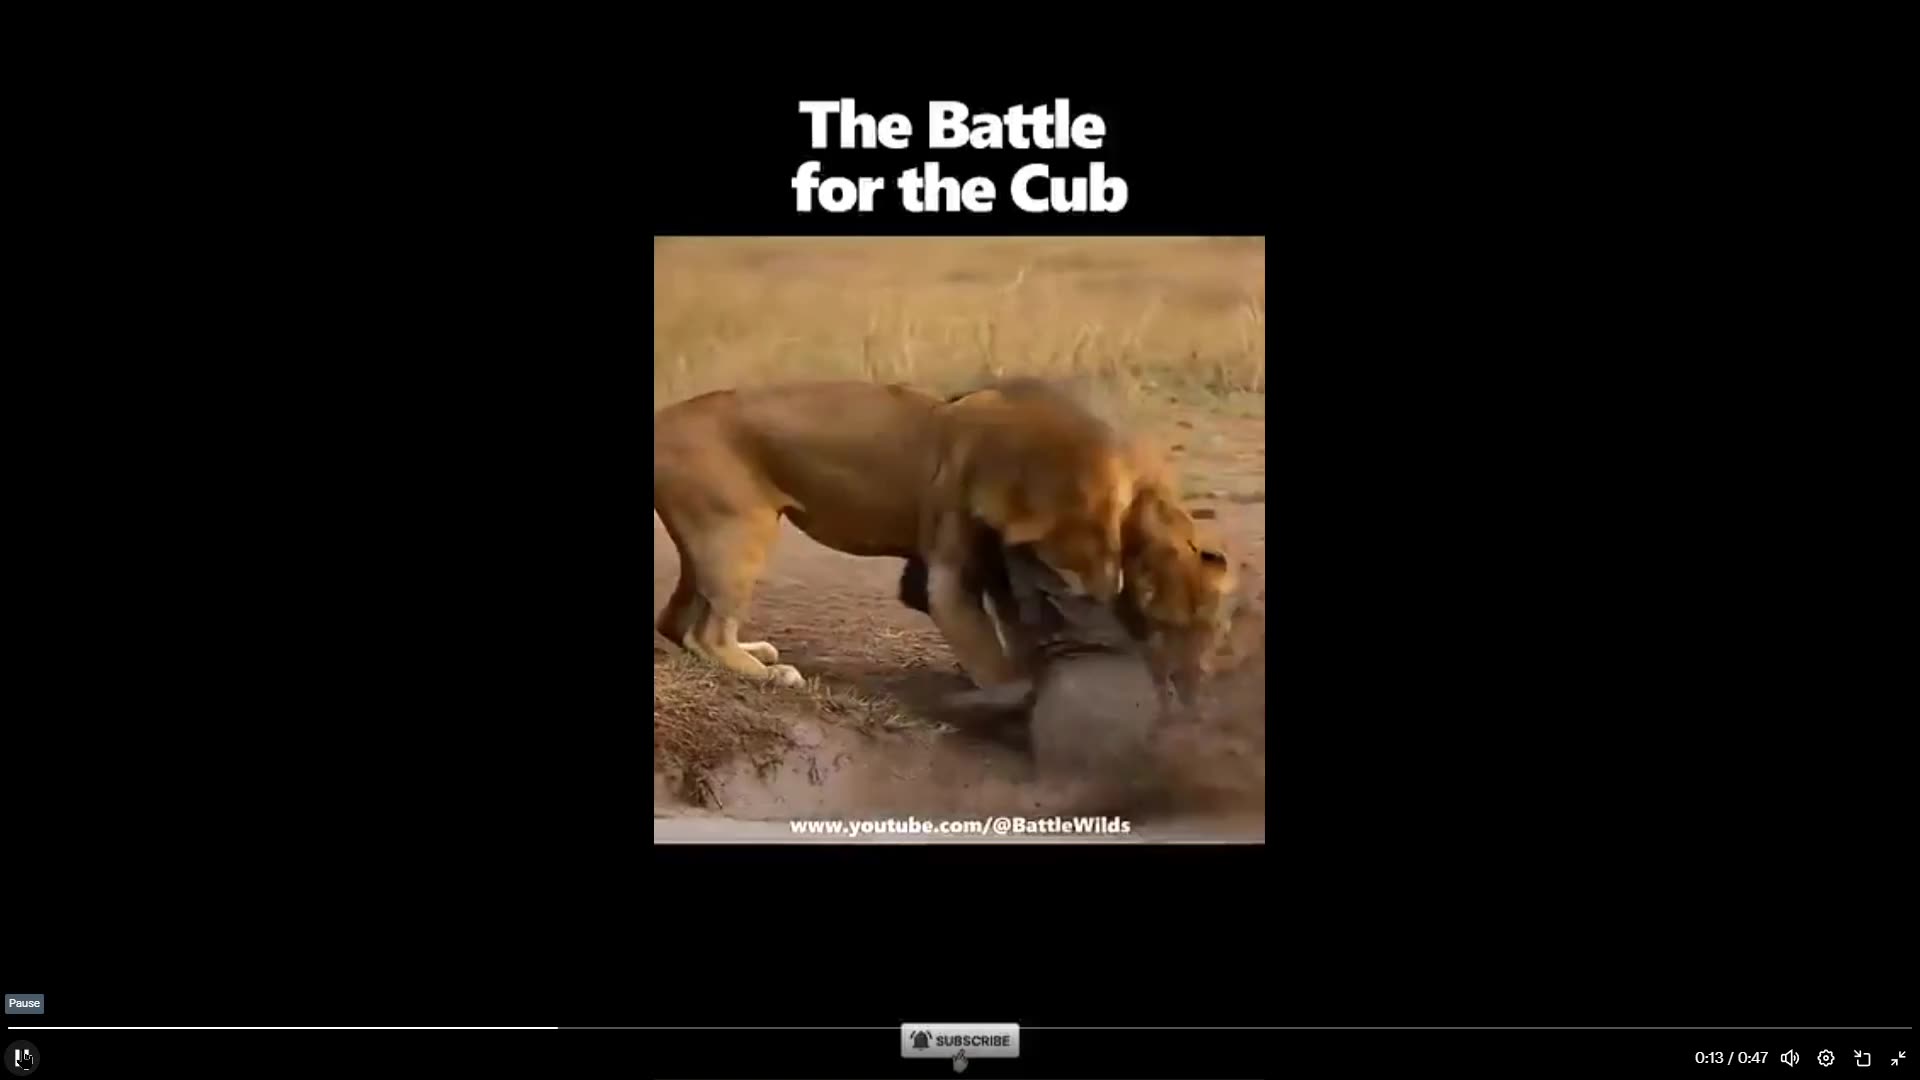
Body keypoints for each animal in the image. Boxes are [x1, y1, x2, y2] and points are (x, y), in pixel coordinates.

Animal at [651, 379, 1142, 689]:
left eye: (1119, 527)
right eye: (1085, 540)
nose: (1112, 590)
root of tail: (664, 419)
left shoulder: (992, 567)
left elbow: (1011, 628)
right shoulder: (948, 580)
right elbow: (992, 656)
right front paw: (1014, 693)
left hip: (710, 542)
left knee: (675, 623)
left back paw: (756, 652)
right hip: (741, 532)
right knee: (707, 634)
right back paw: (771, 674)